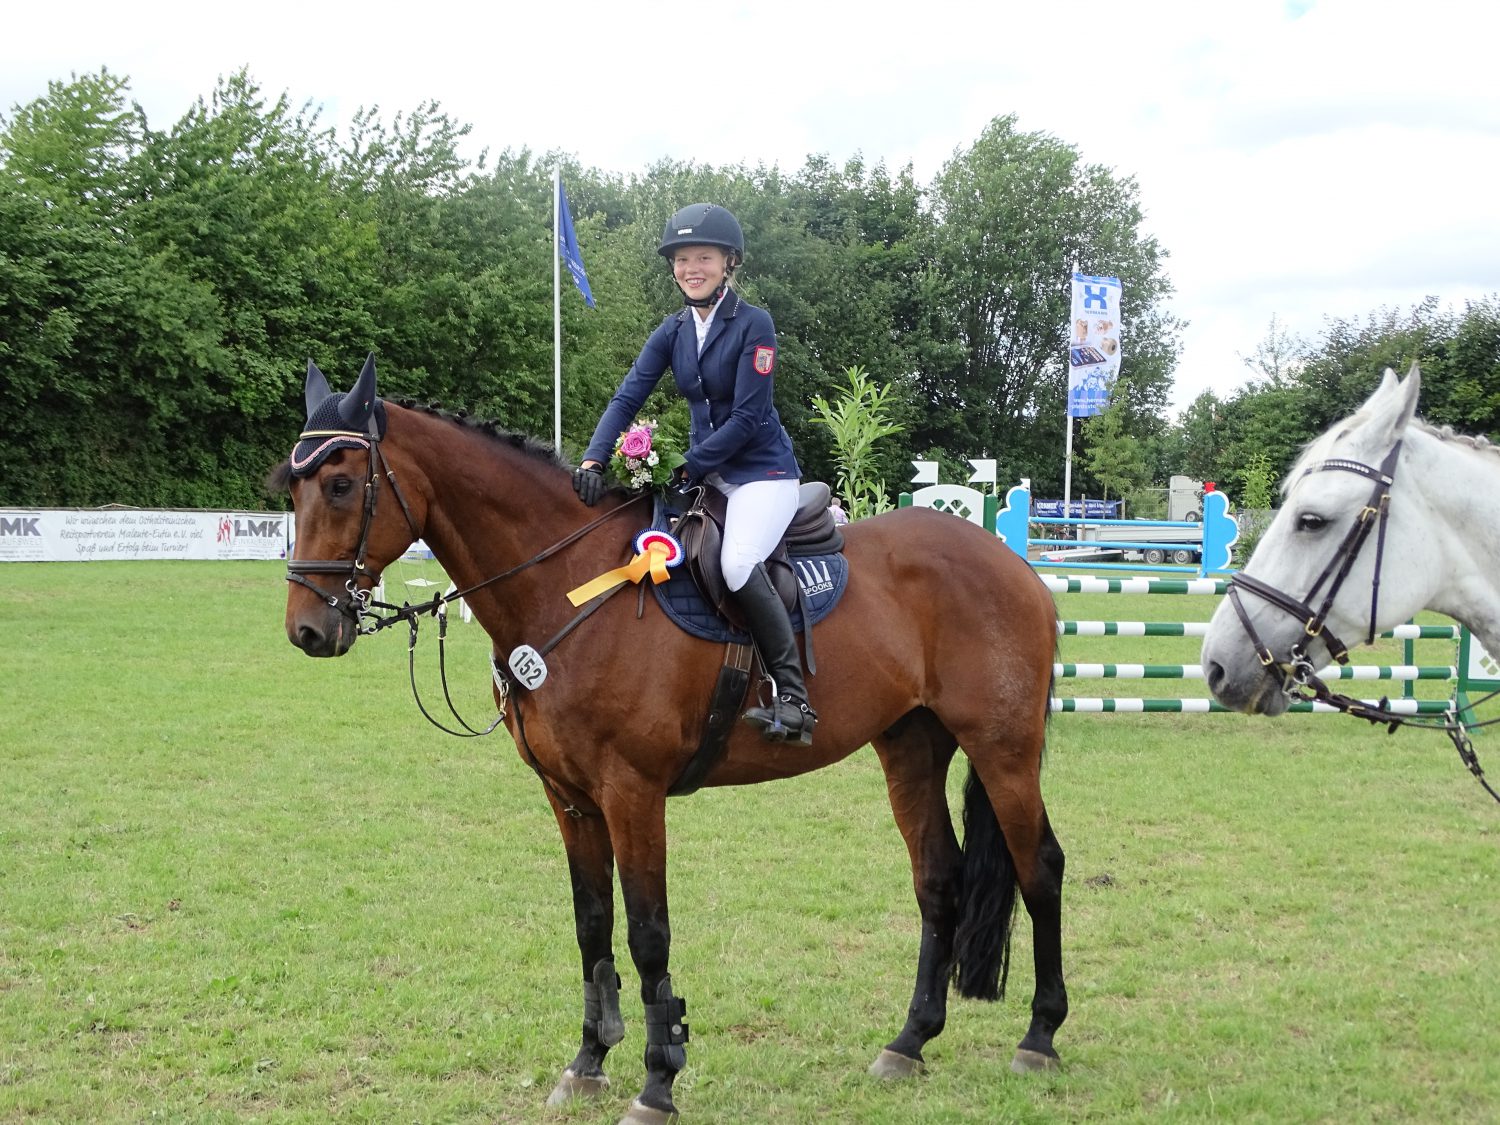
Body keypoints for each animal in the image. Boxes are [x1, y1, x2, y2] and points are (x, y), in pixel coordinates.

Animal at [273, 358, 1068, 1122]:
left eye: (340, 484)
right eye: (292, 488)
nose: (308, 630)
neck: (566, 586)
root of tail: (1011, 561)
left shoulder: (633, 792)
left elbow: (647, 934)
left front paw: (658, 1082)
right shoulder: (569, 798)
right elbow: (593, 927)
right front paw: (589, 1060)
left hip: (1003, 749)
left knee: (1041, 869)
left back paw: (1040, 1036)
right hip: (910, 746)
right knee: (938, 879)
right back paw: (909, 1042)